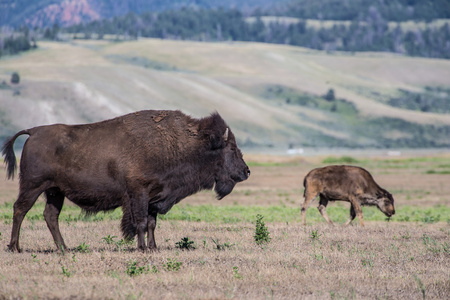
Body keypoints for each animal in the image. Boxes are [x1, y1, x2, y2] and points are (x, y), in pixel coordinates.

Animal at [2, 109, 250, 252]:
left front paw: (153, 247)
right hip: (32, 186)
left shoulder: (154, 197)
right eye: (231, 148)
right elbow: (140, 221)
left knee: (50, 215)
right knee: (20, 209)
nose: (246, 171)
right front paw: (141, 248)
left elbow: (151, 223)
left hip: (55, 191)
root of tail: (34, 131)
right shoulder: (138, 193)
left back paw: (64, 248)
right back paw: (15, 247)